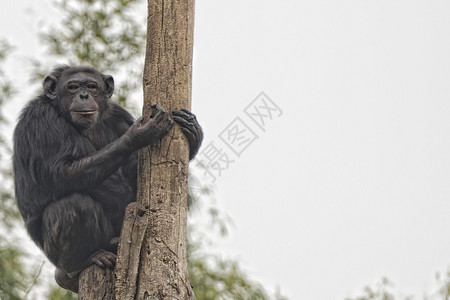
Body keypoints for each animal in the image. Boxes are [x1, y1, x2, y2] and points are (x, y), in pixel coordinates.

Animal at [12, 64, 202, 292]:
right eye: (72, 87)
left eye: (92, 86)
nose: (84, 95)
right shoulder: (39, 117)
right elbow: (61, 172)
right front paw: (138, 134)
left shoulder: (119, 116)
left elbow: (135, 174)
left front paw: (193, 131)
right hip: (55, 257)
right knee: (71, 205)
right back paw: (87, 258)